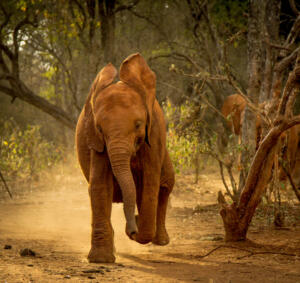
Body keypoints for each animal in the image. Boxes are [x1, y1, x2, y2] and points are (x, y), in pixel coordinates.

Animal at [75, 52, 175, 264]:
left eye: (138, 125)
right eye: (100, 128)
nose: (131, 229)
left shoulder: (153, 134)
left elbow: (150, 185)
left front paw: (137, 226)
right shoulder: (97, 142)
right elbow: (100, 186)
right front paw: (101, 260)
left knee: (165, 185)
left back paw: (160, 240)